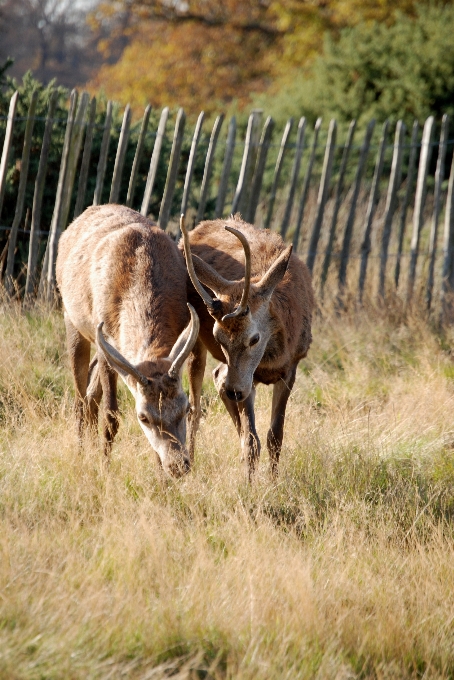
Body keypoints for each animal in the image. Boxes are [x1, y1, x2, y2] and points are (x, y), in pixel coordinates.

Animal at [56, 205, 199, 476]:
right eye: (143, 416)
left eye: (185, 407)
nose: (178, 466)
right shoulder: (105, 341)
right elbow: (112, 415)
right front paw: (104, 469)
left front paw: (160, 477)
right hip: (72, 319)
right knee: (80, 397)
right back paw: (81, 454)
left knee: (90, 393)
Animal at [179, 214, 314, 478]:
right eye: (218, 337)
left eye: (254, 338)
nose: (234, 391)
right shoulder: (246, 381)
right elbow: (252, 442)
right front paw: (250, 484)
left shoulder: (291, 367)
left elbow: (275, 436)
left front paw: (274, 481)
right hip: (196, 338)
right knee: (195, 407)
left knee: (218, 377)